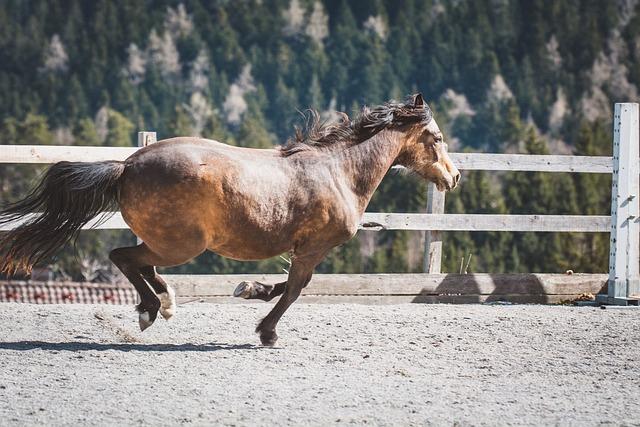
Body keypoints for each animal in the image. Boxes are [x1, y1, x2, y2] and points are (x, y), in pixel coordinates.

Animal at [0, 94, 460, 348]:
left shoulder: (303, 248)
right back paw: (151, 309)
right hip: (181, 244)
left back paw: (165, 301)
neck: (339, 172)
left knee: (140, 262)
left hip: (168, 242)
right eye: (436, 138)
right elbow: (296, 288)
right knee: (124, 257)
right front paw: (268, 333)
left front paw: (250, 289)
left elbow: (287, 285)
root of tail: (127, 165)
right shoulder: (313, 247)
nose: (453, 177)